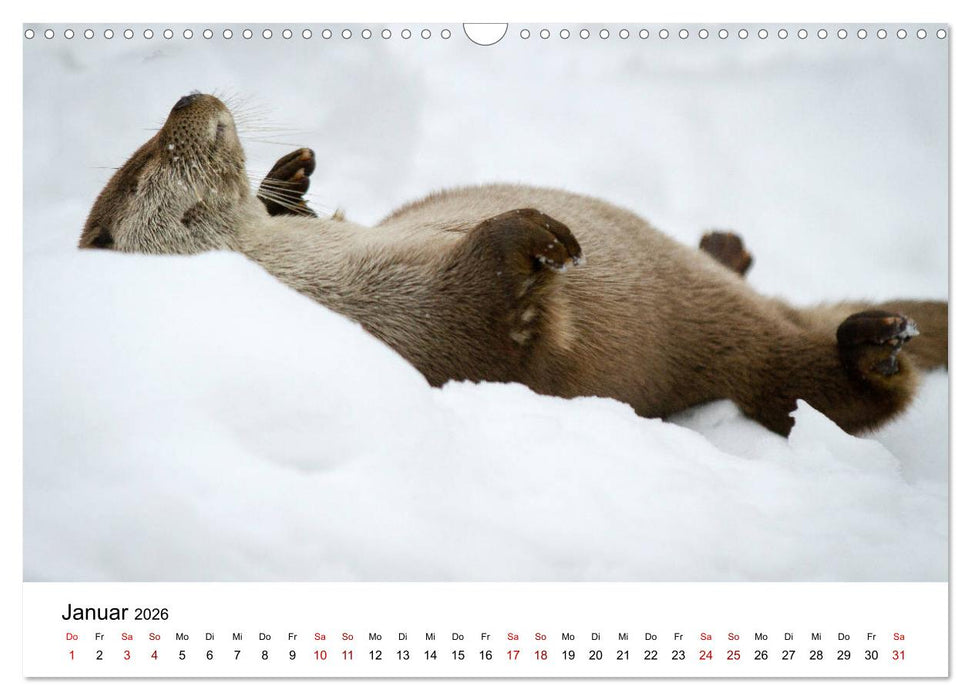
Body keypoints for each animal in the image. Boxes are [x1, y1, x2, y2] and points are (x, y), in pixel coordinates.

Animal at [80, 93, 948, 436]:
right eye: (145, 162)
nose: (185, 97)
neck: (318, 275)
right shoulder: (421, 331)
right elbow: (493, 312)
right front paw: (537, 236)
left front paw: (292, 175)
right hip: (748, 362)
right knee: (825, 387)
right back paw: (875, 345)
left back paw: (726, 247)